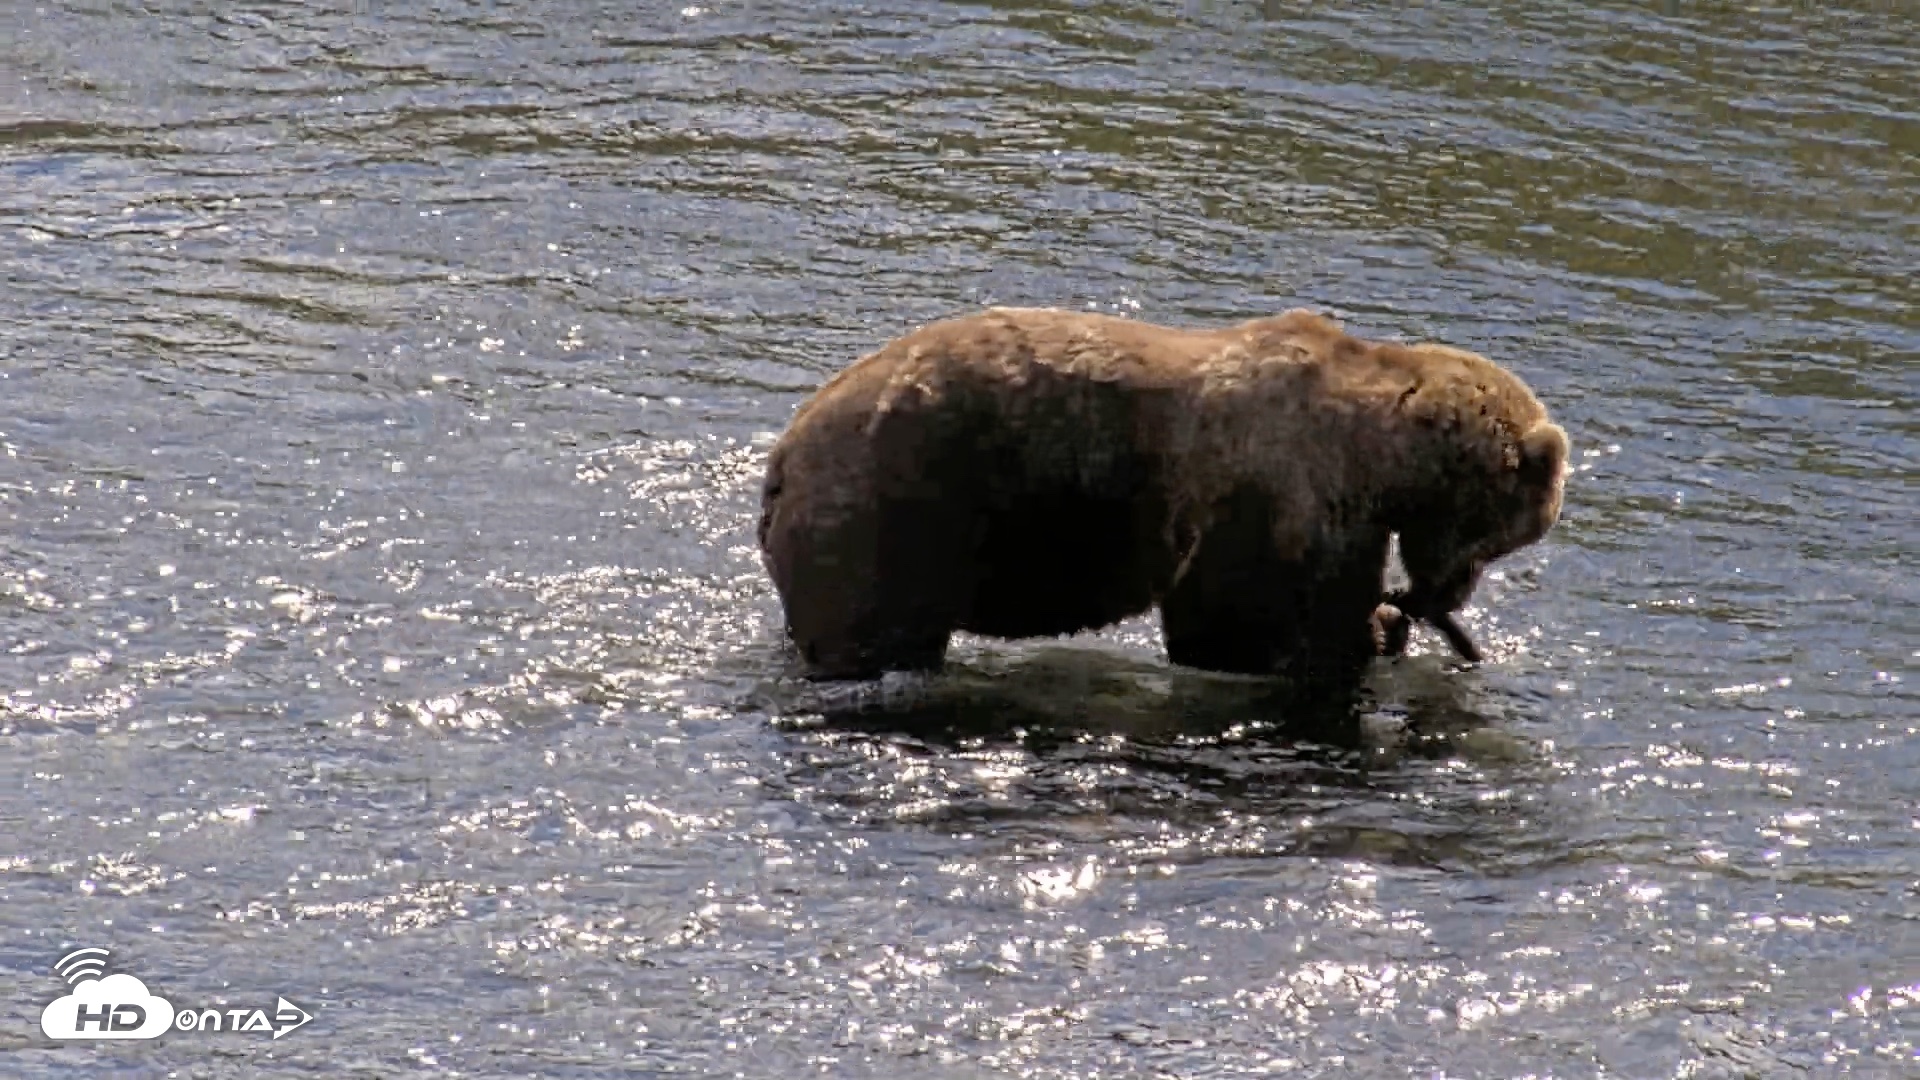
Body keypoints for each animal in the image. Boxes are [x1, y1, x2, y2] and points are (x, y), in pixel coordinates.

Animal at [757, 306, 1569, 684]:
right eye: (1504, 537)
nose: (1447, 597)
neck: (1381, 454)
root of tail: (785, 452)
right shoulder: (1280, 491)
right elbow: (1247, 622)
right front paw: (1369, 634)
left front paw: (1386, 624)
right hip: (898, 510)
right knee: (879, 626)